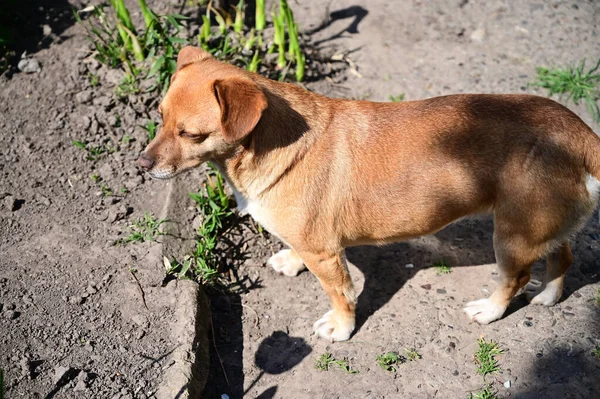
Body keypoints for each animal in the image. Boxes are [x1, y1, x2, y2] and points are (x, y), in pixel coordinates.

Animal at [138, 45, 600, 342]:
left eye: (190, 134)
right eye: (159, 117)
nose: (141, 165)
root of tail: (577, 131)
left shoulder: (326, 255)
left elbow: (341, 296)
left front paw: (341, 329)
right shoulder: (313, 244)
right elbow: (298, 252)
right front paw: (290, 259)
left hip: (513, 236)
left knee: (515, 277)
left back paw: (490, 310)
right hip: (543, 225)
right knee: (563, 255)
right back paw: (549, 296)